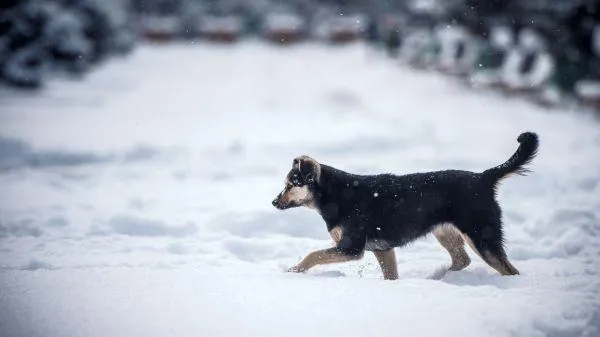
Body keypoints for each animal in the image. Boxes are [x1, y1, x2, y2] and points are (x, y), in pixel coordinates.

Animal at [272, 131, 540, 278]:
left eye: (290, 184)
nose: (273, 202)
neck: (334, 195)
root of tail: (483, 178)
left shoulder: (351, 248)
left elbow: (312, 255)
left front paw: (292, 272)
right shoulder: (383, 249)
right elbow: (391, 275)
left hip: (481, 235)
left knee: (509, 270)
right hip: (445, 232)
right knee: (462, 260)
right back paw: (440, 278)